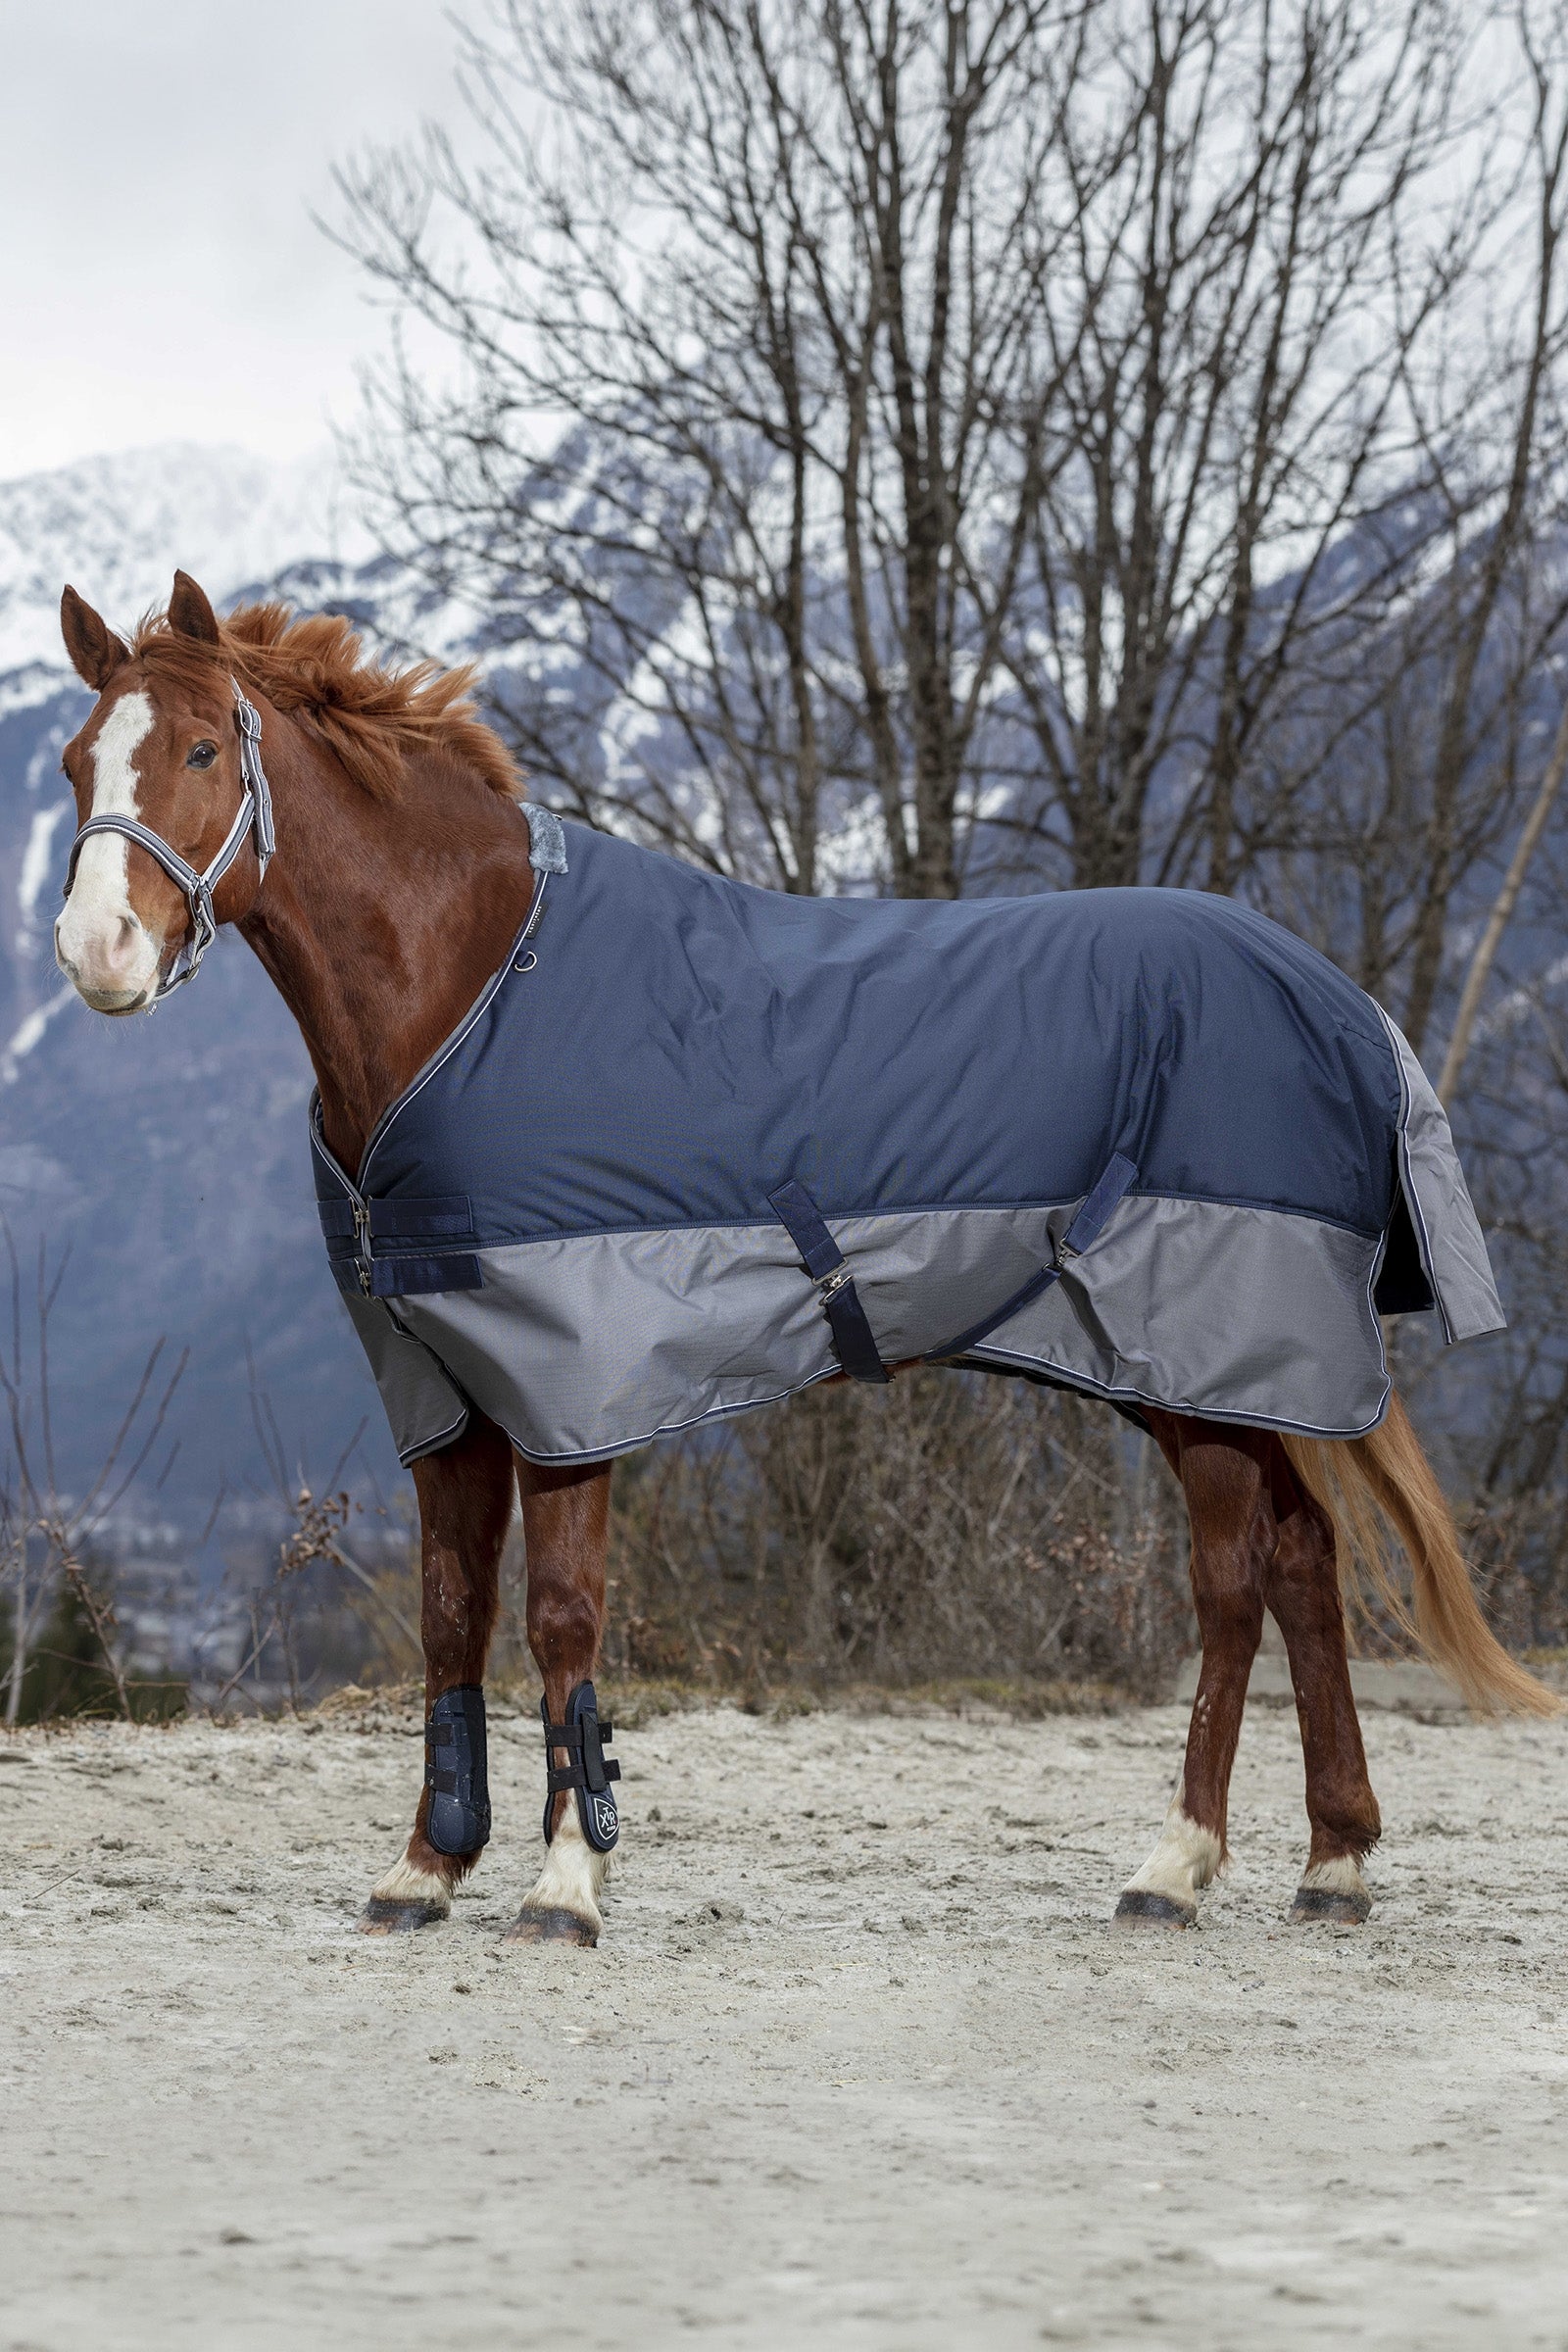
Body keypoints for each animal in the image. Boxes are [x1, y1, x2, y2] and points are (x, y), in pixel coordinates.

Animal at [52, 571, 1558, 1947]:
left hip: (1198, 1360)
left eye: (203, 748)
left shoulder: (573, 1390)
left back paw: (1175, 1866)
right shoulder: (445, 1391)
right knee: (1302, 1560)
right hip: (1196, 1372)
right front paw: (426, 1869)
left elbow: (560, 1619)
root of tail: (1338, 1002)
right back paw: (1333, 1860)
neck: (472, 992)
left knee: (1236, 1581)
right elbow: (447, 1617)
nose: (93, 952)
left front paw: (566, 1884)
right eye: (75, 762)